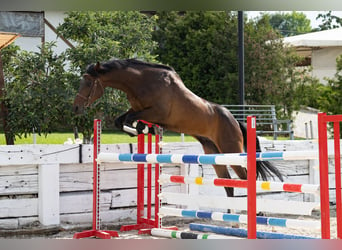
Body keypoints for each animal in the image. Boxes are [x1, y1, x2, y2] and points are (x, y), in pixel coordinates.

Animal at [73, 58, 284, 197]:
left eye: (89, 82)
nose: (76, 107)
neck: (142, 82)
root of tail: (234, 121)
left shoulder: (156, 113)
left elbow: (132, 119)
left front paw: (142, 129)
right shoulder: (137, 110)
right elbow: (121, 120)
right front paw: (142, 130)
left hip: (230, 150)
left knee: (246, 178)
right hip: (214, 152)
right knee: (228, 183)